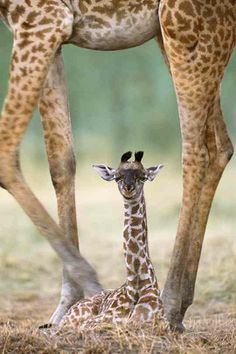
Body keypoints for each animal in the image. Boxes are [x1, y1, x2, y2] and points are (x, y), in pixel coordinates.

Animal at [60, 151, 165, 330]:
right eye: (117, 177)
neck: (136, 285)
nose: (128, 188)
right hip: (72, 318)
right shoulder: (98, 321)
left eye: (143, 177)